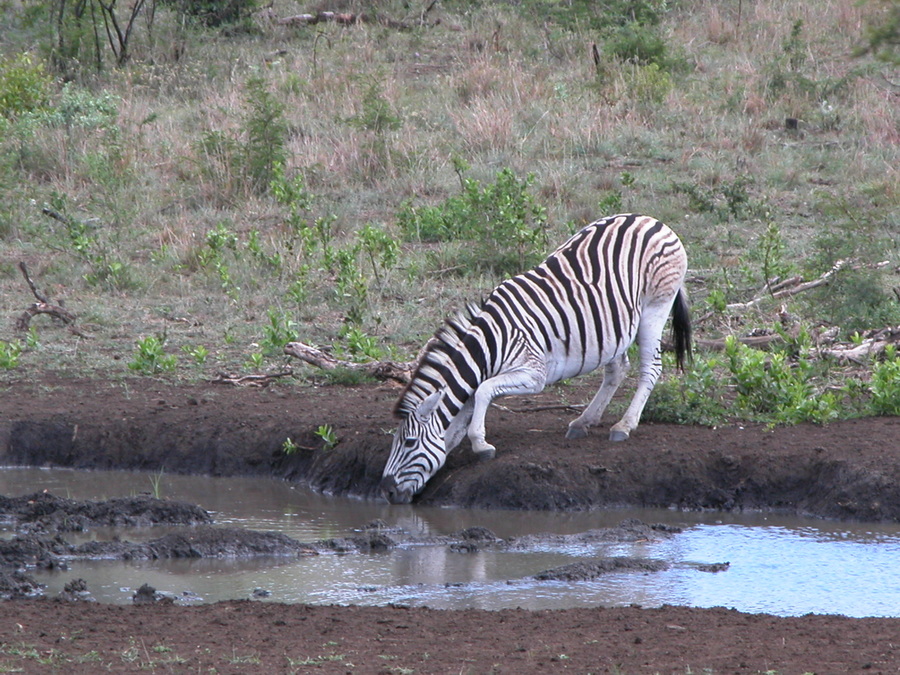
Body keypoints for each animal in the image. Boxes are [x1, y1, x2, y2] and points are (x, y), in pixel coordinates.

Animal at [378, 214, 688, 504]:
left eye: (409, 443)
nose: (387, 492)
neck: (489, 345)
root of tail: (651, 220)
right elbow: (464, 412)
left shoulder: (533, 373)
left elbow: (482, 391)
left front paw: (481, 445)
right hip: (613, 328)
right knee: (618, 369)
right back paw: (584, 421)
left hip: (655, 308)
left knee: (651, 368)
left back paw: (624, 426)